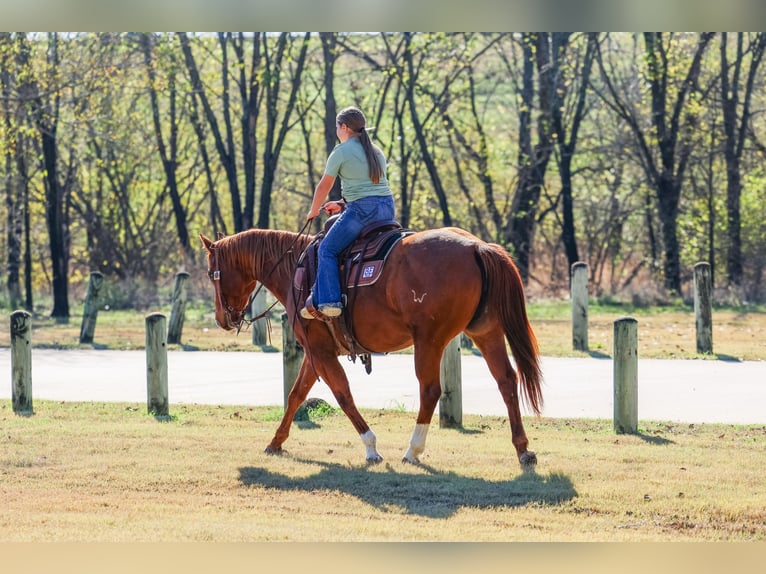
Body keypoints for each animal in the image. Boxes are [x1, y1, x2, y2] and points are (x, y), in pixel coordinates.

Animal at [200, 225, 543, 468]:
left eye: (212, 273)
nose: (222, 319)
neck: (295, 269)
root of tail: (476, 246)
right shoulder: (316, 351)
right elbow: (297, 394)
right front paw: (276, 442)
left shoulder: (321, 352)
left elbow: (342, 394)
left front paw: (371, 448)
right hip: (486, 332)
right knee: (506, 381)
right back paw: (523, 449)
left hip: (430, 339)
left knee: (430, 390)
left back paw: (413, 450)